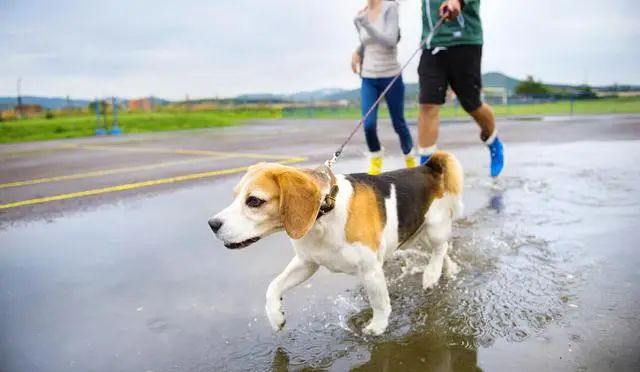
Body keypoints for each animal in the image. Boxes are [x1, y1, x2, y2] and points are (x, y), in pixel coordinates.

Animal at [210, 150, 464, 334]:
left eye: (254, 201)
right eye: (235, 196)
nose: (212, 224)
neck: (325, 213)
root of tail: (428, 167)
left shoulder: (371, 270)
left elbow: (379, 303)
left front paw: (377, 327)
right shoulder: (306, 263)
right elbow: (273, 286)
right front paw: (275, 316)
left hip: (434, 228)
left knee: (440, 248)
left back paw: (431, 274)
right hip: (413, 236)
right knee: (442, 251)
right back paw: (447, 270)